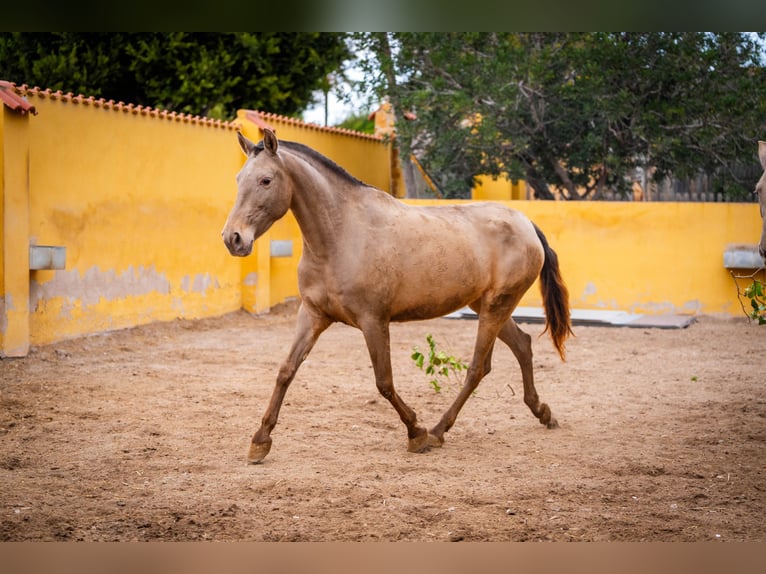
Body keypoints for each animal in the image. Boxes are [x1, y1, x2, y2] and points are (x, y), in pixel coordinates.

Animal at [222, 128, 573, 463]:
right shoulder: (313, 315)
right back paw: (542, 413)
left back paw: (437, 431)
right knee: (521, 346)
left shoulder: (374, 321)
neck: (341, 235)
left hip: (496, 307)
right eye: (238, 179)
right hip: (487, 305)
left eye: (266, 180)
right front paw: (259, 441)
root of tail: (526, 223)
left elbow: (384, 382)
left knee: (477, 368)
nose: (233, 238)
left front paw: (416, 433)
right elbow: (286, 371)